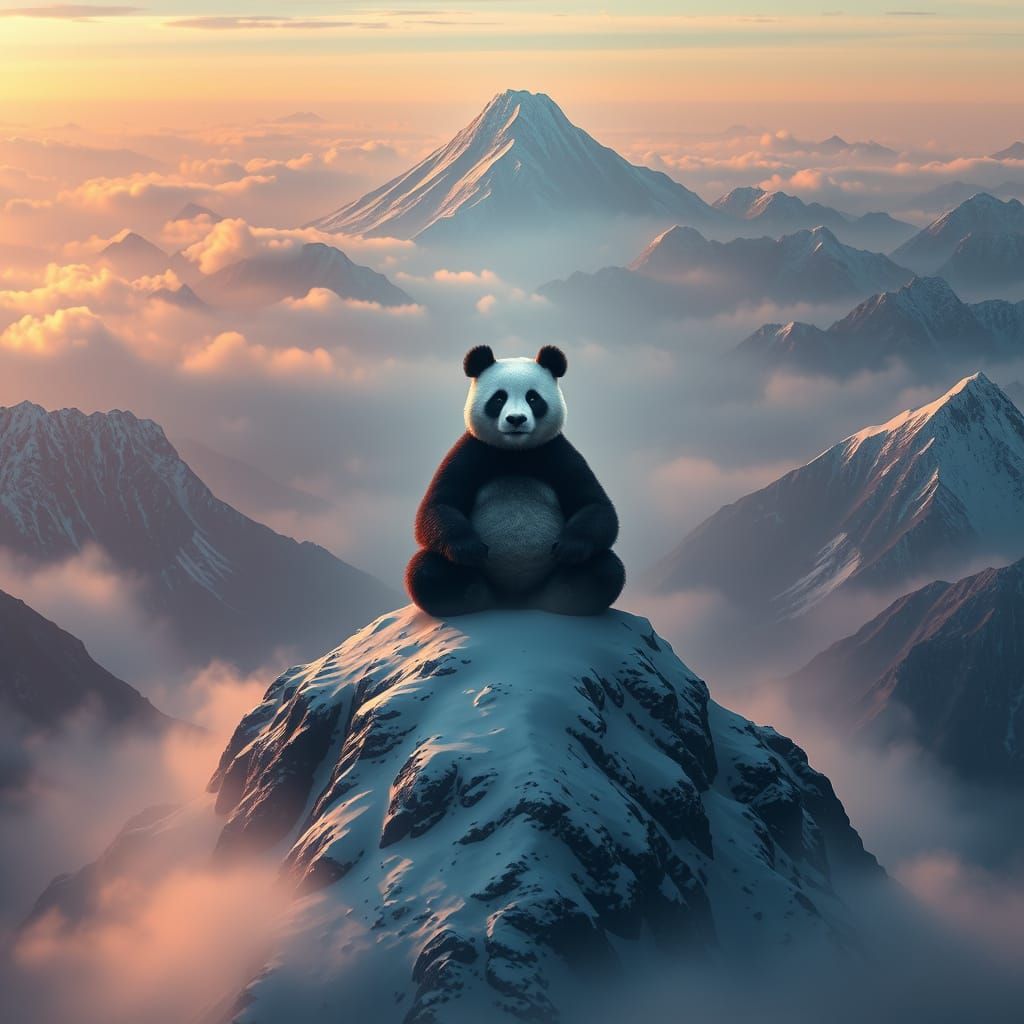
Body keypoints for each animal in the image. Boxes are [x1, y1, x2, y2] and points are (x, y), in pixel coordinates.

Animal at [405, 344, 625, 617]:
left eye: (533, 398)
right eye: (499, 398)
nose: (516, 419)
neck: (515, 453)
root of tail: (514, 601)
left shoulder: (556, 452)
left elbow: (596, 506)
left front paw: (569, 547)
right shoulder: (472, 451)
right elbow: (437, 506)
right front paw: (469, 549)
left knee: (605, 569)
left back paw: (562, 597)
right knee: (426, 572)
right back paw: (471, 596)